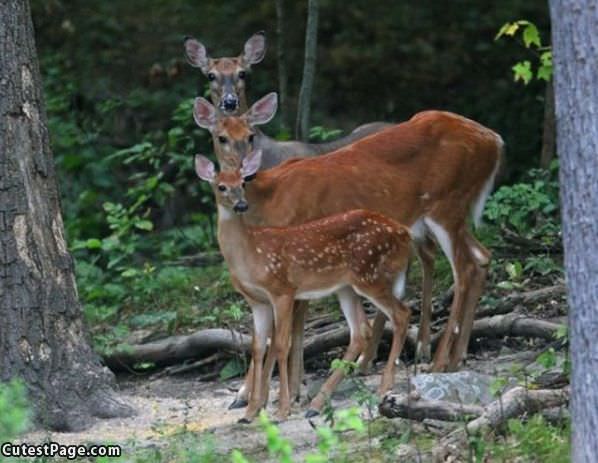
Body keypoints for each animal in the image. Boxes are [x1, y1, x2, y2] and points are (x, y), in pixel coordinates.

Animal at [195, 150, 414, 424]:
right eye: (221, 186)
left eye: (243, 183)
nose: (241, 205)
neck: (251, 256)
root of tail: (404, 234)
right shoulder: (257, 302)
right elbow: (257, 347)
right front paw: (251, 411)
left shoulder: (283, 290)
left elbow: (281, 345)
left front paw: (282, 410)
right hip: (347, 287)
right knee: (359, 331)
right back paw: (318, 403)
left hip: (369, 275)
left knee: (402, 313)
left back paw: (384, 388)